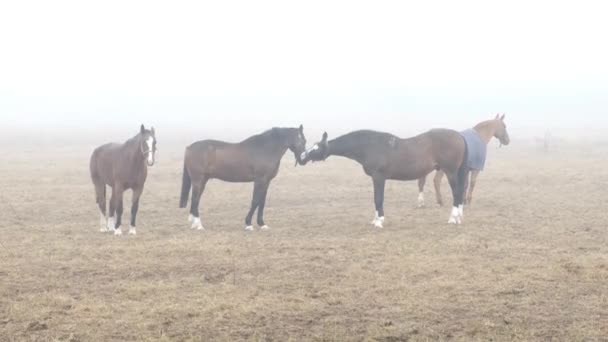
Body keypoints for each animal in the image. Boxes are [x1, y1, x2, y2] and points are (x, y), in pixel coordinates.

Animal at [178, 124, 306, 231]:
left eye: (305, 141)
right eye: (301, 140)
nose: (303, 159)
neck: (265, 149)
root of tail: (189, 147)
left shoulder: (266, 181)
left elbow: (262, 202)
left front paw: (262, 224)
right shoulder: (260, 180)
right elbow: (255, 201)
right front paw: (248, 224)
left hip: (203, 180)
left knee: (195, 200)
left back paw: (194, 224)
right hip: (198, 180)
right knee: (195, 199)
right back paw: (199, 225)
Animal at [302, 127, 468, 226]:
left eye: (316, 148)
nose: (302, 157)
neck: (369, 146)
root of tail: (460, 136)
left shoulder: (379, 177)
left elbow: (378, 198)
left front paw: (379, 222)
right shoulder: (376, 178)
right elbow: (376, 198)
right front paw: (376, 219)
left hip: (450, 172)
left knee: (456, 193)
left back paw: (453, 219)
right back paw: (459, 217)